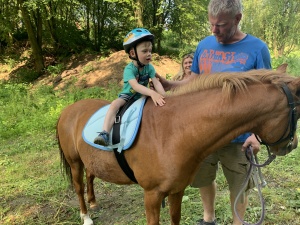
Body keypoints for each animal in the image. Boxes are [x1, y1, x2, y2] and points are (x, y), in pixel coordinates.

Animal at [57, 68, 298, 225]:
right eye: (297, 113)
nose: (292, 145)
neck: (173, 131)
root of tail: (68, 110)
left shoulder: (177, 190)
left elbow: (175, 218)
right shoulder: (152, 195)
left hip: (90, 160)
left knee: (91, 175)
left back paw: (93, 203)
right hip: (75, 162)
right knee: (79, 186)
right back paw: (86, 216)